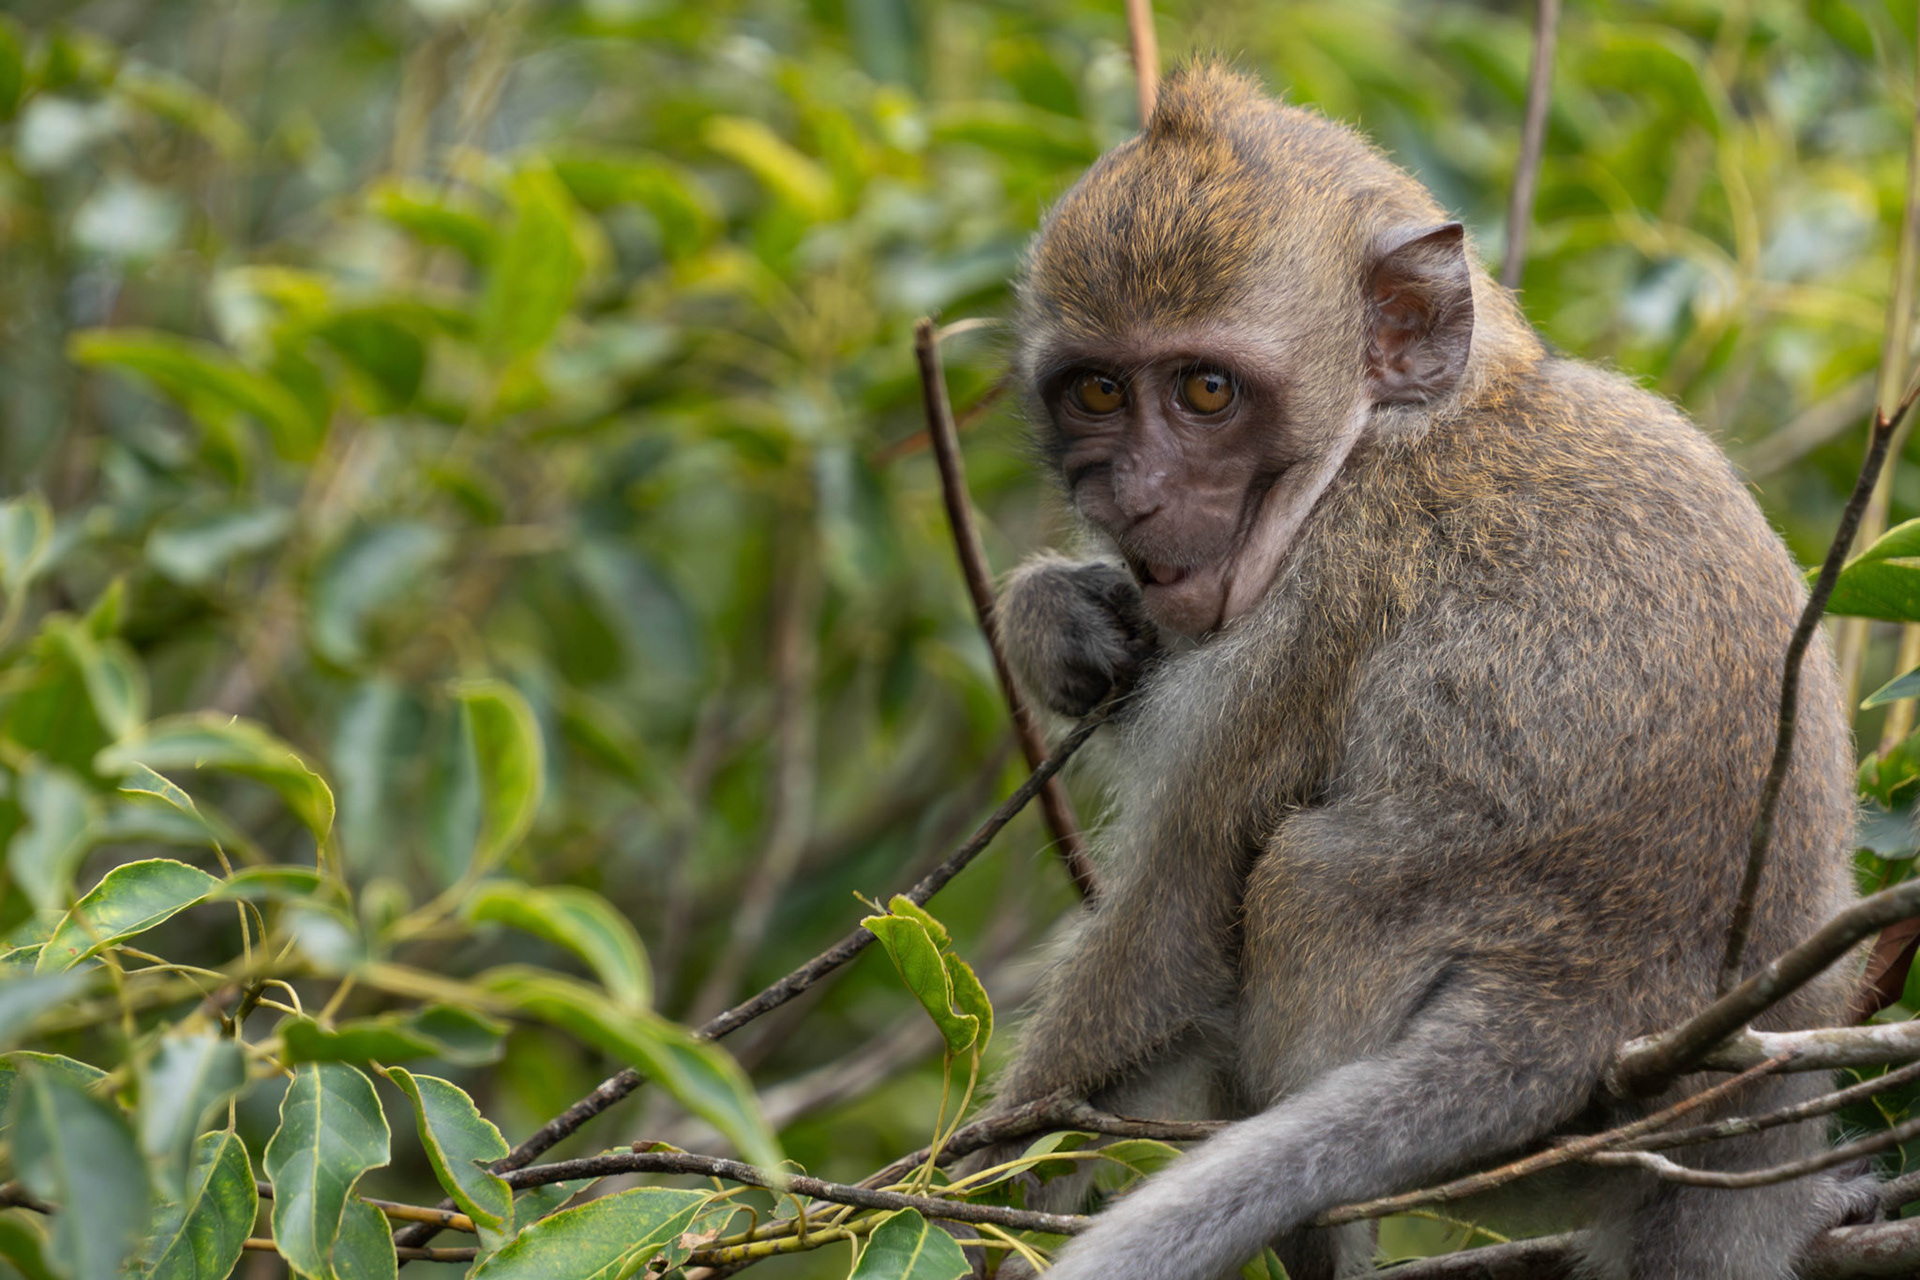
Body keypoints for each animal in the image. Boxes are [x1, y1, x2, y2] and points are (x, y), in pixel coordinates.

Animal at [974, 63, 1869, 1280]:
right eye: (1098, 392)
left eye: (1206, 391)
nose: (1138, 496)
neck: (1407, 424)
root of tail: (1598, 1008)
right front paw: (1057, 616)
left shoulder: (1318, 605)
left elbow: (1173, 928)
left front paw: (964, 1185)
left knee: (1296, 878)